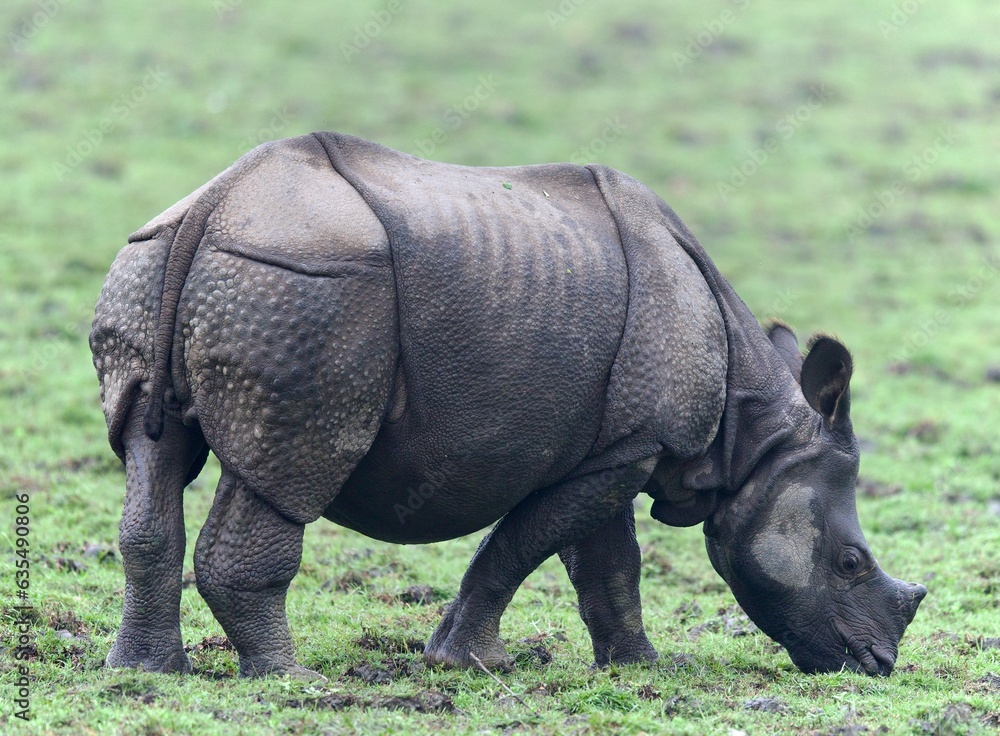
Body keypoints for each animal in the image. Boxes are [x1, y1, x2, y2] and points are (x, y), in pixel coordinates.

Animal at [90, 132, 925, 679]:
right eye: (850, 562)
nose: (877, 664)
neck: (754, 438)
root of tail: (218, 202)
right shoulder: (629, 447)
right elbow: (523, 545)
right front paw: (467, 662)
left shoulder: (619, 442)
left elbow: (607, 563)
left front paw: (639, 667)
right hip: (306, 283)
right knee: (293, 468)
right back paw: (292, 681)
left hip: (159, 261)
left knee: (151, 453)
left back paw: (144, 673)